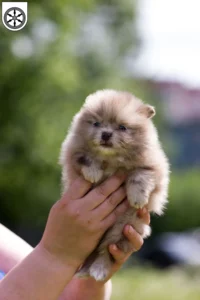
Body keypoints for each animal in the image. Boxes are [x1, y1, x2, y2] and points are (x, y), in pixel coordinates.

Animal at [60, 89, 170, 282]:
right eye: (96, 123)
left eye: (122, 127)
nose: (106, 134)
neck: (111, 158)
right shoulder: (74, 151)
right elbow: (86, 157)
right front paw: (93, 173)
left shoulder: (152, 166)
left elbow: (139, 177)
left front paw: (137, 199)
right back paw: (86, 271)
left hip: (123, 227)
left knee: (105, 251)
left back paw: (98, 270)